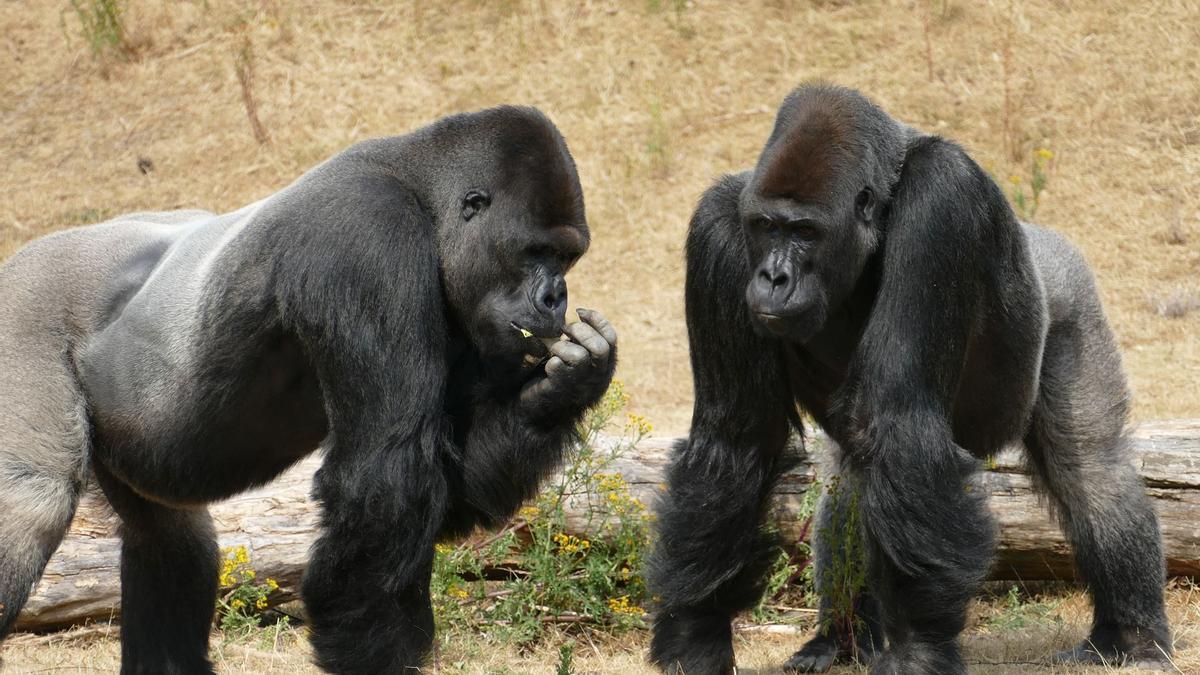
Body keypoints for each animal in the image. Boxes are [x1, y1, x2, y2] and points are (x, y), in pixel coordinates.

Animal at [0, 105, 619, 672]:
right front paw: (372, 654)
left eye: (567, 257)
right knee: (32, 501)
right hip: (24, 306)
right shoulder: (368, 234)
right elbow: (386, 471)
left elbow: (453, 486)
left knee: (172, 539)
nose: (555, 298)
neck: (419, 191)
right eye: (536, 253)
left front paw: (567, 384)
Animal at [648, 85, 1171, 672]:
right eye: (765, 226)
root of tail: (1043, 237)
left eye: (805, 232)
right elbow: (736, 438)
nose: (774, 276)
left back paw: (1130, 635)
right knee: (851, 480)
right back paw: (841, 641)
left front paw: (918, 649)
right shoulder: (717, 225)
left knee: (1091, 465)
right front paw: (694, 633)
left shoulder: (942, 198)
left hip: (1071, 296)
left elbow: (897, 419)